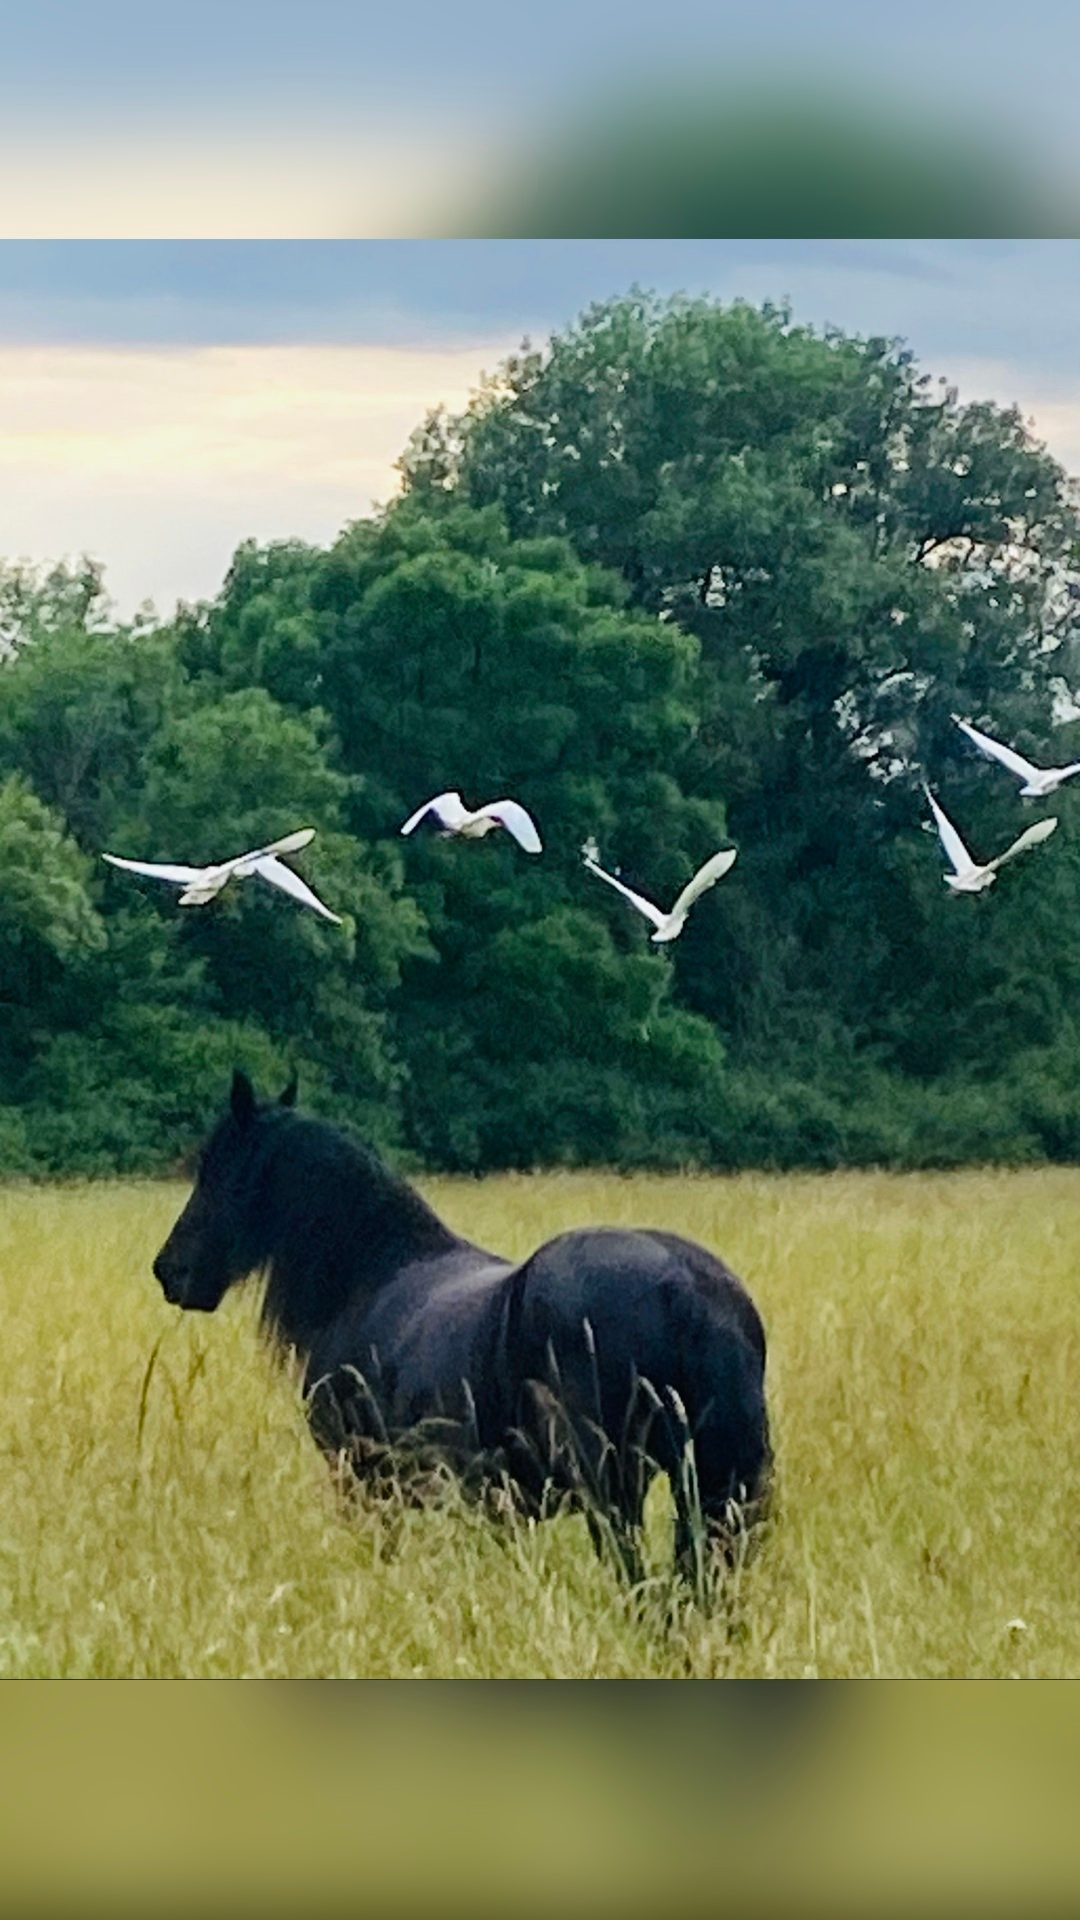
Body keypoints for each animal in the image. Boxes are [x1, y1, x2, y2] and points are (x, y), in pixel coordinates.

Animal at [152, 1071, 772, 1591]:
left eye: (218, 1170)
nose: (169, 1270)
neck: (370, 1277)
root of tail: (684, 1286)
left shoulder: (365, 1484)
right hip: (710, 1492)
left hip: (616, 1492)